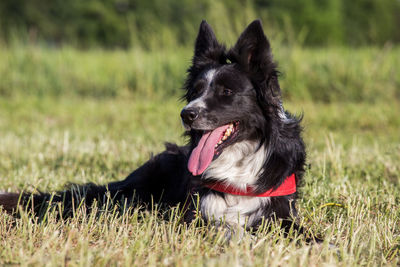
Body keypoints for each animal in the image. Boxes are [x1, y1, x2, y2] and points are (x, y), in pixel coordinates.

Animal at [0, 20, 318, 243]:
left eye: (227, 92)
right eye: (196, 91)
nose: (187, 114)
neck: (238, 162)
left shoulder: (280, 211)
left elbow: (305, 234)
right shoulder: (194, 215)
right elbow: (227, 227)